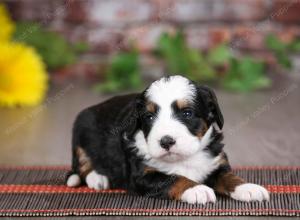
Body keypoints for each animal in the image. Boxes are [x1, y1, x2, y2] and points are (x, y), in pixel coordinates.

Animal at [67, 75, 270, 205]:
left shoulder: (215, 163)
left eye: (187, 113)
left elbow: (228, 176)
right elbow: (172, 178)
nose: (166, 141)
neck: (184, 158)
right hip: (79, 131)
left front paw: (248, 187)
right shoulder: (142, 176)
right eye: (149, 117)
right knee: (82, 165)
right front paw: (196, 189)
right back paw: (97, 178)